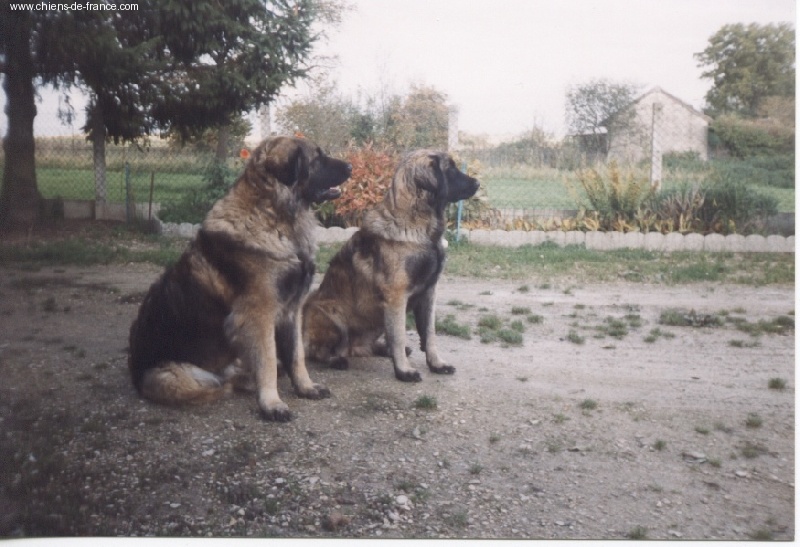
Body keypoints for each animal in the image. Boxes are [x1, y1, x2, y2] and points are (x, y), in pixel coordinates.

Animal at [128, 136, 351, 421]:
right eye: (317, 157)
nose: (351, 166)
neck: (274, 216)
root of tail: (134, 372)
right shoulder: (258, 314)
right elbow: (268, 361)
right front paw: (272, 404)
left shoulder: (292, 309)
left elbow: (296, 355)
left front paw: (305, 387)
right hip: (172, 376)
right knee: (223, 384)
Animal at [303, 150, 479, 382]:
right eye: (449, 169)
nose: (477, 183)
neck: (419, 226)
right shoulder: (396, 296)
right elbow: (399, 335)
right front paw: (404, 371)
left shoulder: (429, 292)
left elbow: (429, 334)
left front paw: (436, 364)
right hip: (331, 314)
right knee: (317, 351)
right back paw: (336, 359)